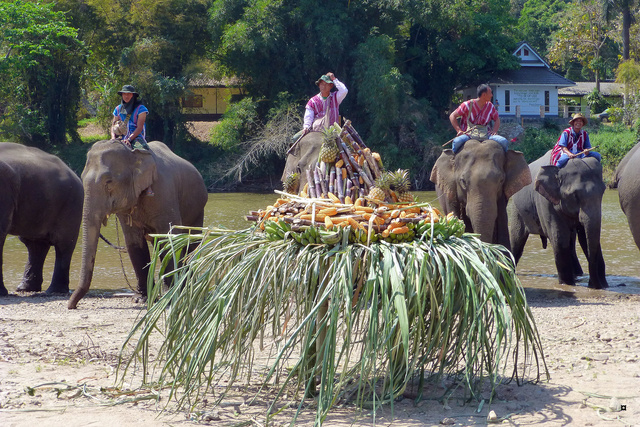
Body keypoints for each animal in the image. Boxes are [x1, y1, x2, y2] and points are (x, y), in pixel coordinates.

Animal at [69, 142, 208, 310]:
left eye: (109, 181)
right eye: (82, 179)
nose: (72, 306)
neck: (134, 154)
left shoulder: (164, 194)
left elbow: (170, 240)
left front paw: (169, 298)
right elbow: (134, 244)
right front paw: (140, 299)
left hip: (198, 210)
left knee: (190, 245)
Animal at [508, 149, 608, 290]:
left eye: (603, 191)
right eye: (574, 195)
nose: (595, 286)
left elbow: (585, 236)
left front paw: (604, 285)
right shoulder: (546, 201)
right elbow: (560, 237)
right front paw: (567, 284)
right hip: (517, 208)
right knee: (517, 240)